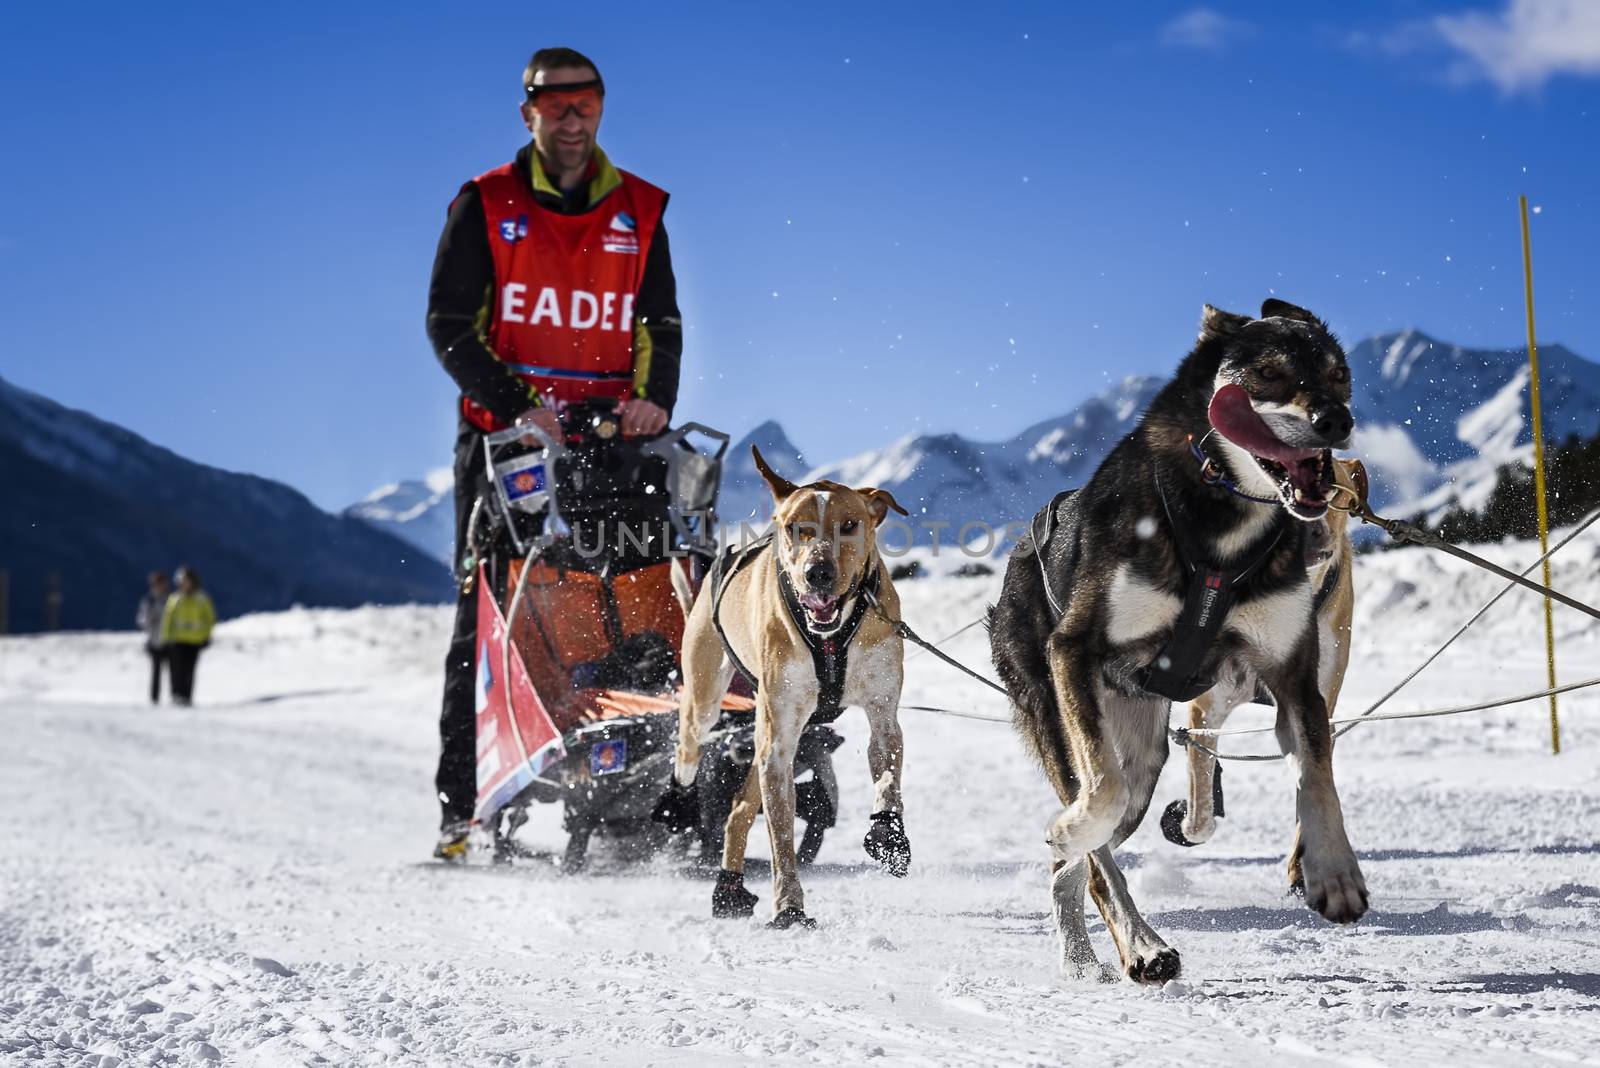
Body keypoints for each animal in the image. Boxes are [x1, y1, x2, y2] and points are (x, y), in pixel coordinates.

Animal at [992, 300, 1369, 984]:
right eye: (1268, 373)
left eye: (1339, 374)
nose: (1335, 419)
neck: (1221, 524)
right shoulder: (1075, 648)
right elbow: (1101, 795)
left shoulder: (1297, 676)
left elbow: (1317, 774)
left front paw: (1334, 871)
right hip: (1061, 717)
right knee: (1096, 842)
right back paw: (1140, 944)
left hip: (1143, 755)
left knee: (1079, 860)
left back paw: (1086, 952)